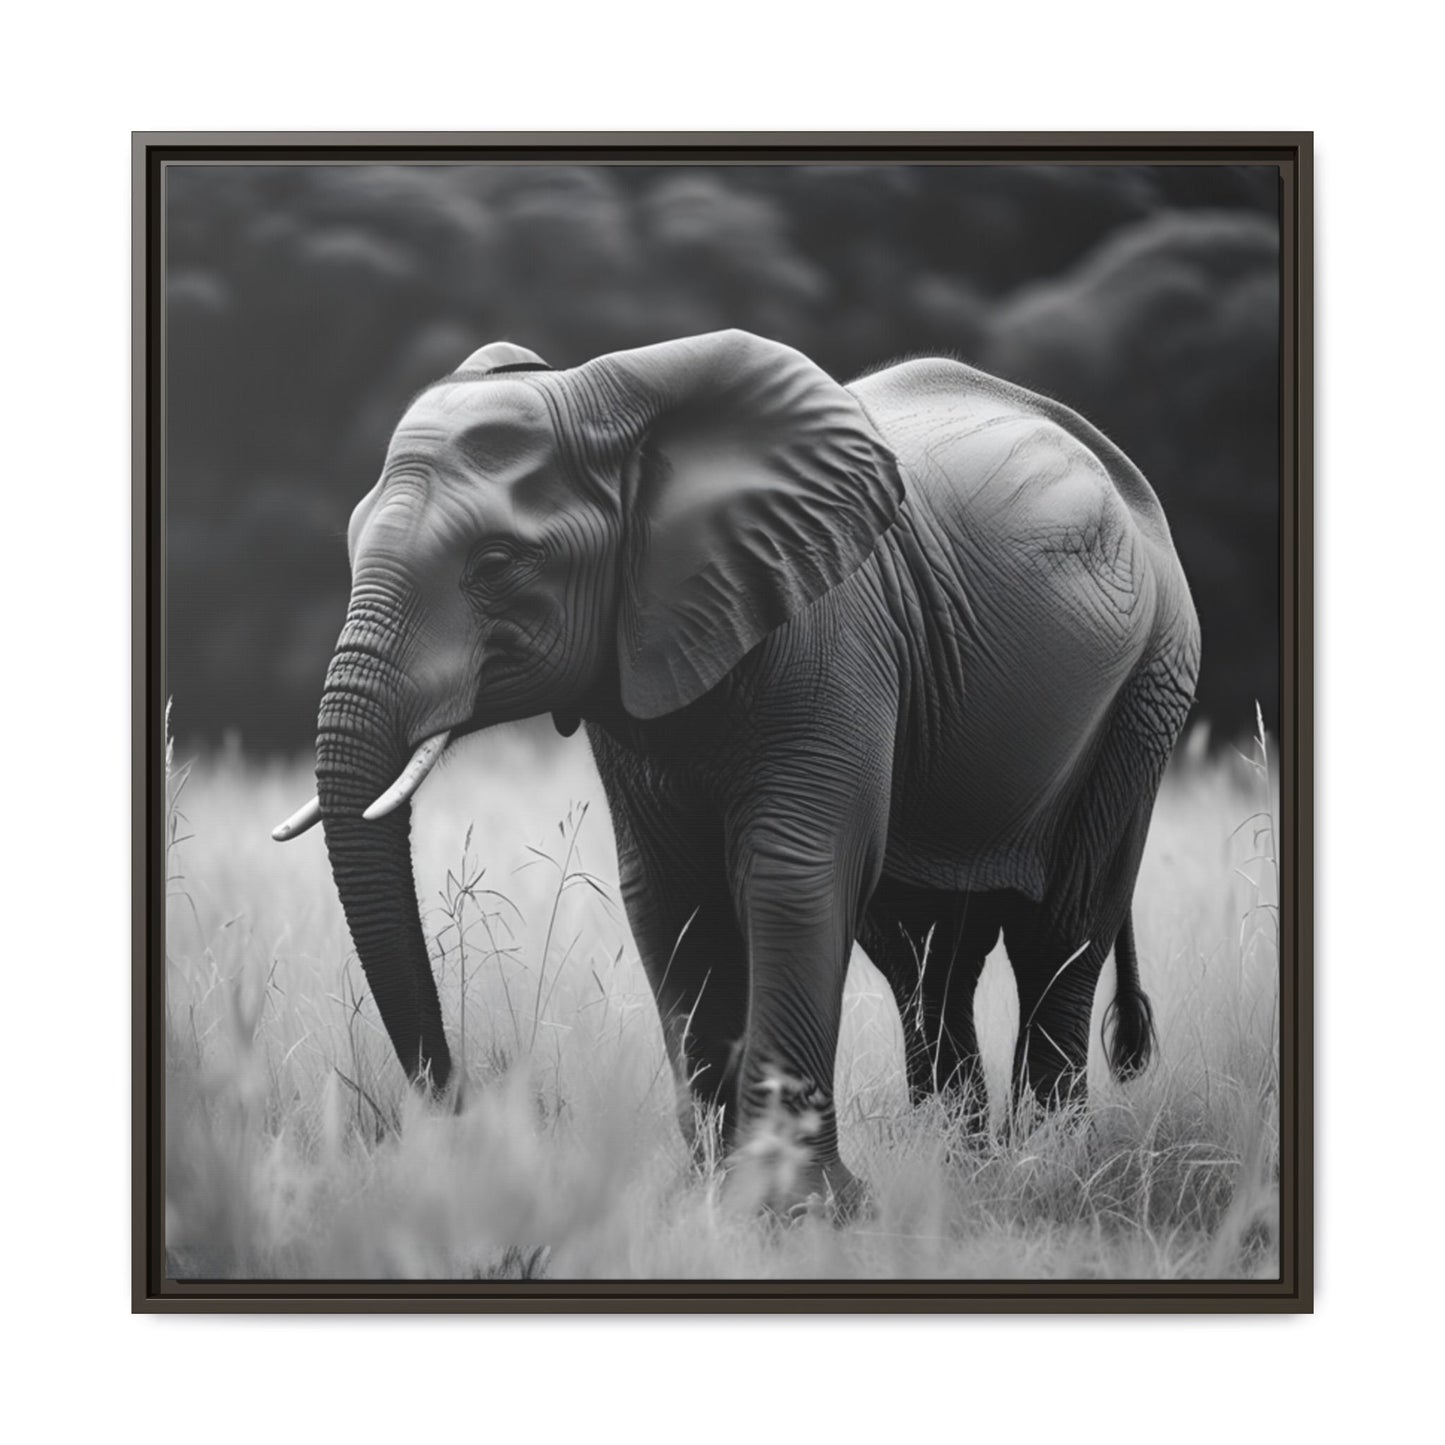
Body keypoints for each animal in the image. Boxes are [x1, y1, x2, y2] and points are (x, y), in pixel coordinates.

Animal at [273, 329, 1200, 1214]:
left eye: (496, 564)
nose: (470, 1116)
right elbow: (667, 893)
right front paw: (709, 1197)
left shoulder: (830, 632)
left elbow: (792, 873)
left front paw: (794, 1211)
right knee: (923, 953)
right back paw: (959, 1165)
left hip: (1148, 688)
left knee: (1061, 929)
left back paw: (1045, 1165)